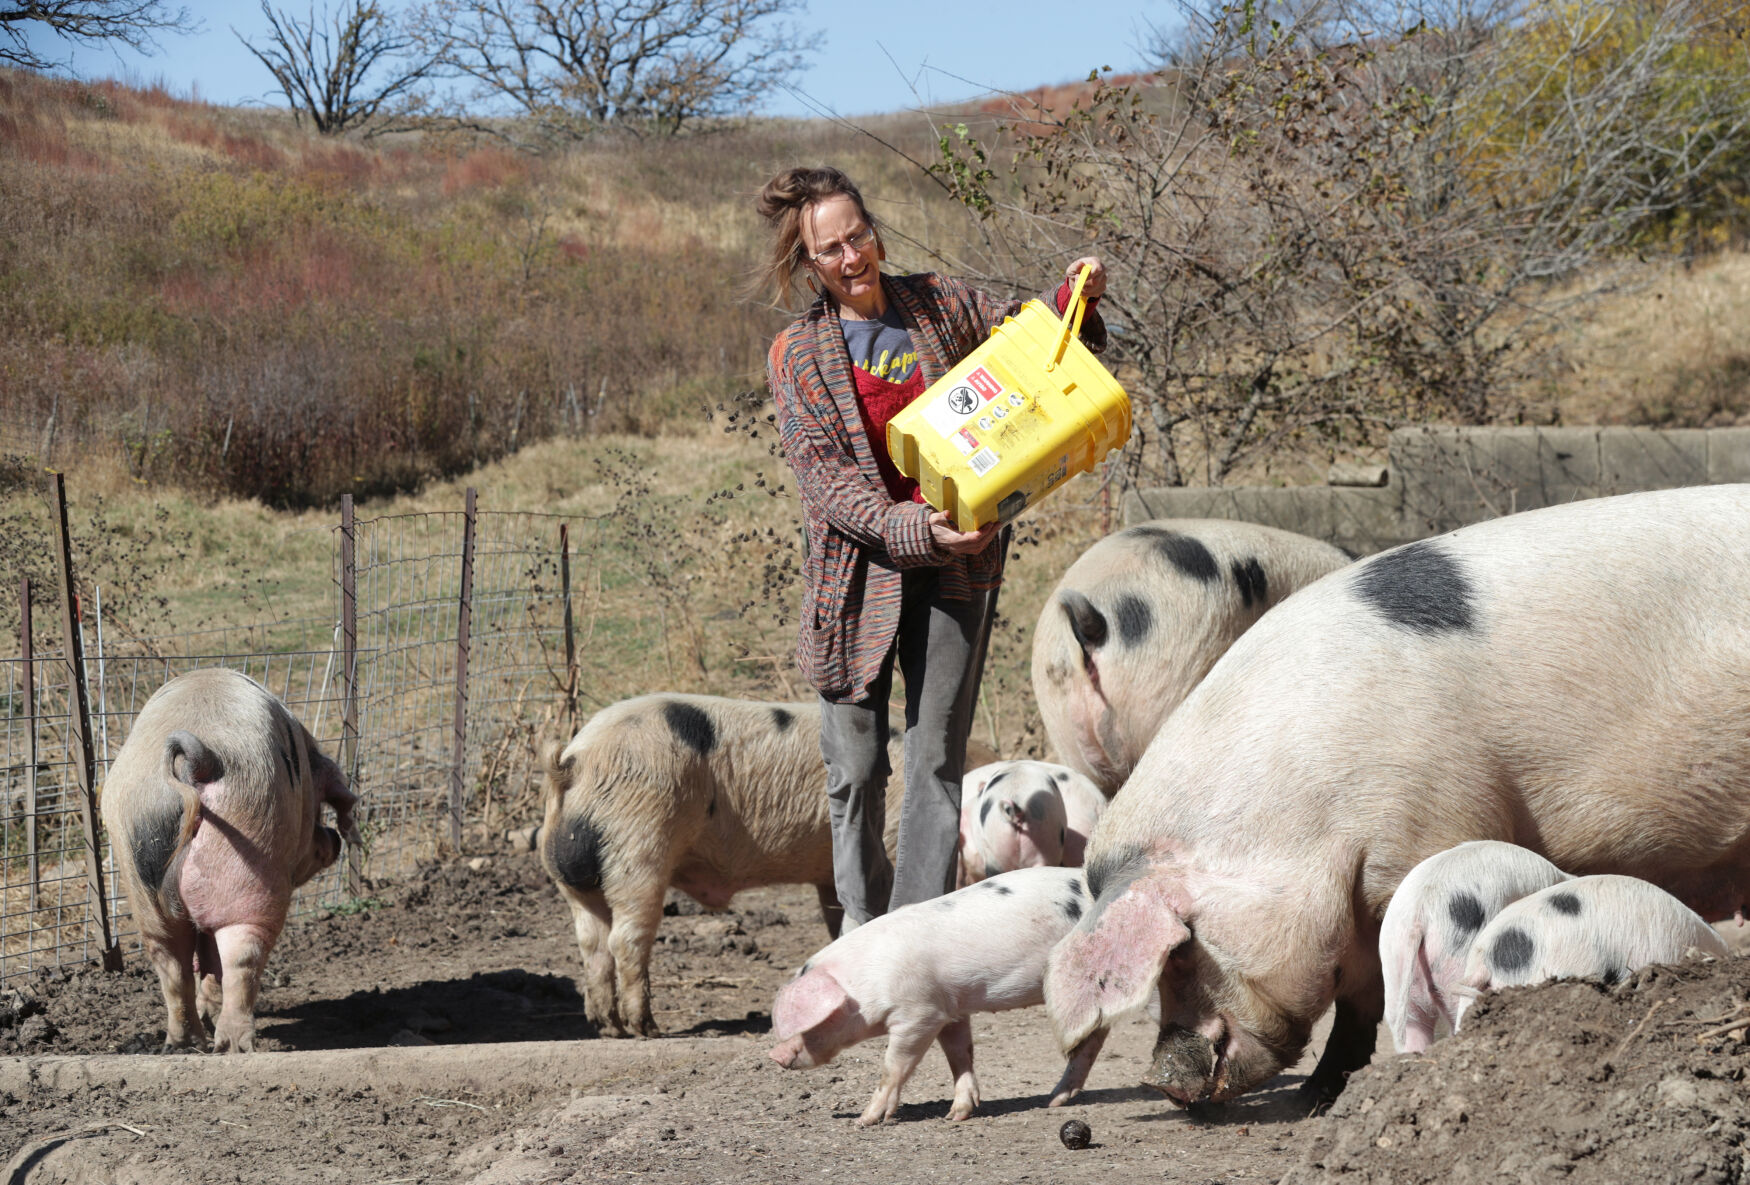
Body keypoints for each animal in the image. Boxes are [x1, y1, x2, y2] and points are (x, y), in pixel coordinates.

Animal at [100, 668, 359, 1053]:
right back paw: (234, 1046)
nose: (335, 840)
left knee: (172, 964)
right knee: (242, 957)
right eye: (317, 809)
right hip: (248, 859)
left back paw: (186, 1044)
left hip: (141, 884)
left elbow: (205, 960)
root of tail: (199, 759)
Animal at [769, 866, 1107, 1125]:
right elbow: (959, 1054)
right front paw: (956, 1115)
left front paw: (864, 1120)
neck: (863, 983)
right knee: (1094, 1036)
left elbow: (893, 1066)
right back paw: (1055, 1100)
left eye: (810, 1022)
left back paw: (1055, 1101)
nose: (774, 1055)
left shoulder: (920, 1013)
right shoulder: (951, 1007)